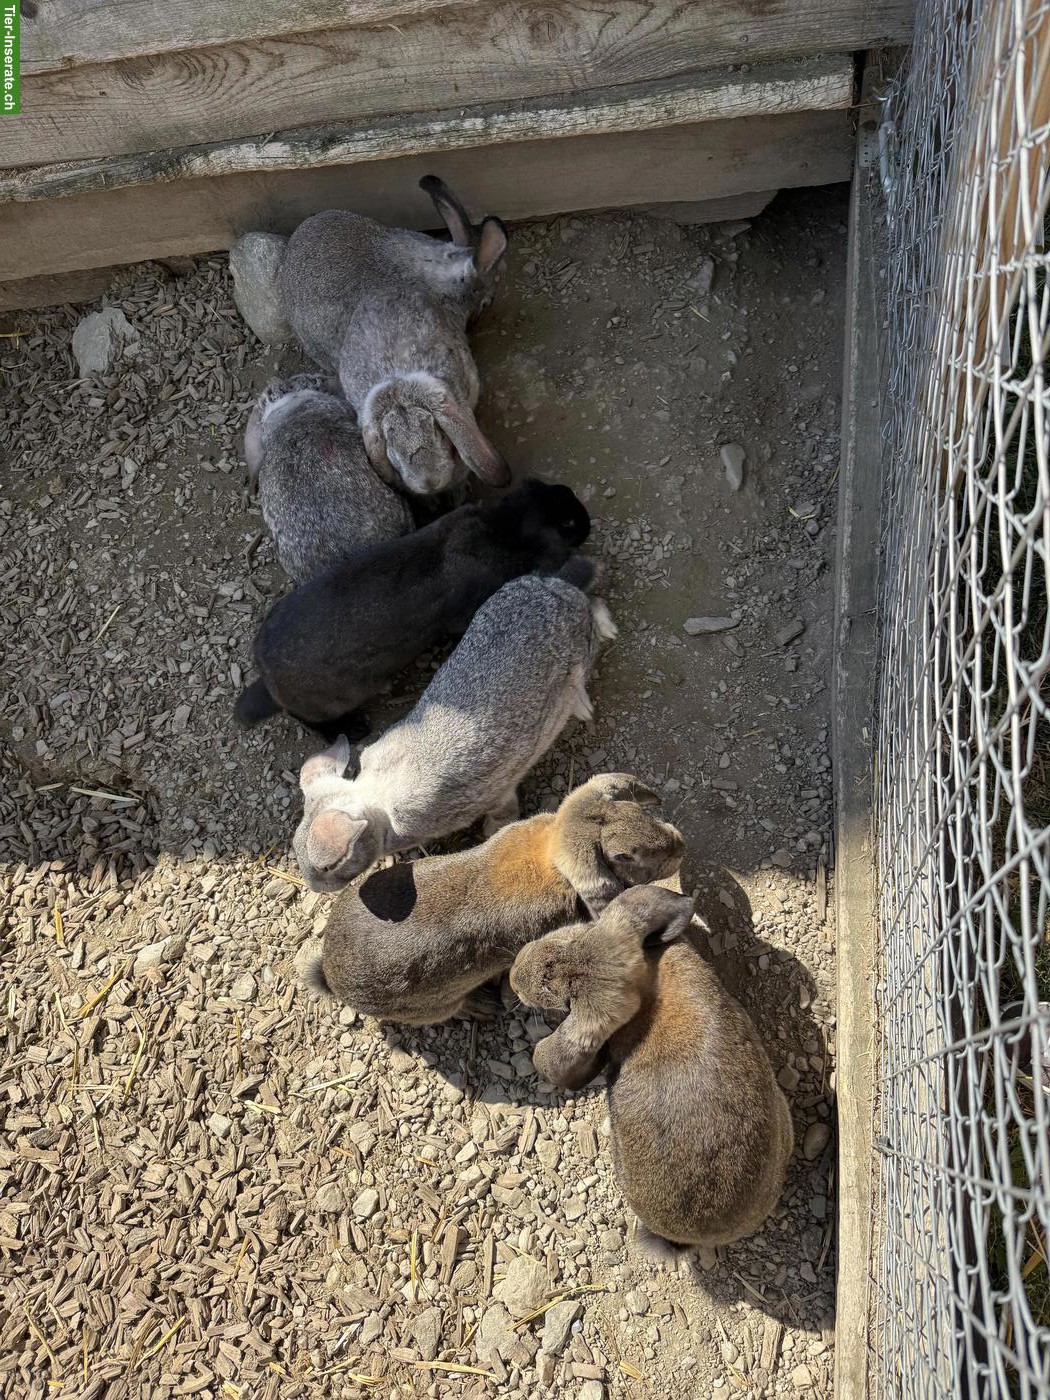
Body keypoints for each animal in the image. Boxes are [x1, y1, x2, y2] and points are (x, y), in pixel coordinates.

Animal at [233, 478, 590, 736]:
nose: (587, 521)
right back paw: (355, 729)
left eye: (565, 492)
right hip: (336, 700)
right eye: (568, 524)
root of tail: (268, 679)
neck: (503, 526)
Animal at [291, 570, 619, 893]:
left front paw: (493, 829)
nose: (317, 889)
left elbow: (503, 811)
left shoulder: (491, 795)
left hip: (578, 655)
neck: (378, 804)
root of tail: (554, 588)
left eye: (330, 865)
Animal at [298, 772, 684, 1024]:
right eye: (625, 856)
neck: (552, 861)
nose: (679, 847)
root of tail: (330, 975)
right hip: (431, 1007)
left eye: (639, 812)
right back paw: (480, 1008)